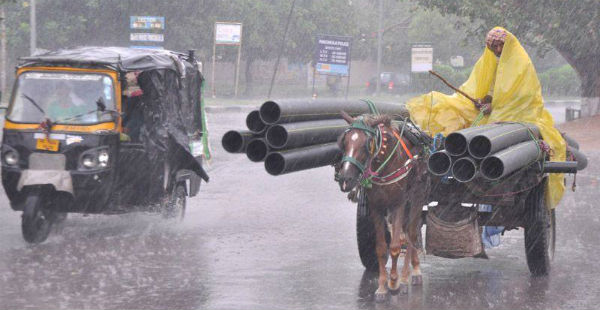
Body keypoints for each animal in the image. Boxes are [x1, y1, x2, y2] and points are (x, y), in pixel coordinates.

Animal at [336, 111, 434, 300]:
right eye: (344, 142)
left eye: (366, 144)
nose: (345, 179)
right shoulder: (376, 207)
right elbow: (381, 248)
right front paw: (382, 287)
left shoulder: (398, 204)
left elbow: (395, 246)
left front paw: (394, 283)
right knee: (408, 233)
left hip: (417, 196)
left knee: (411, 234)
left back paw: (409, 275)